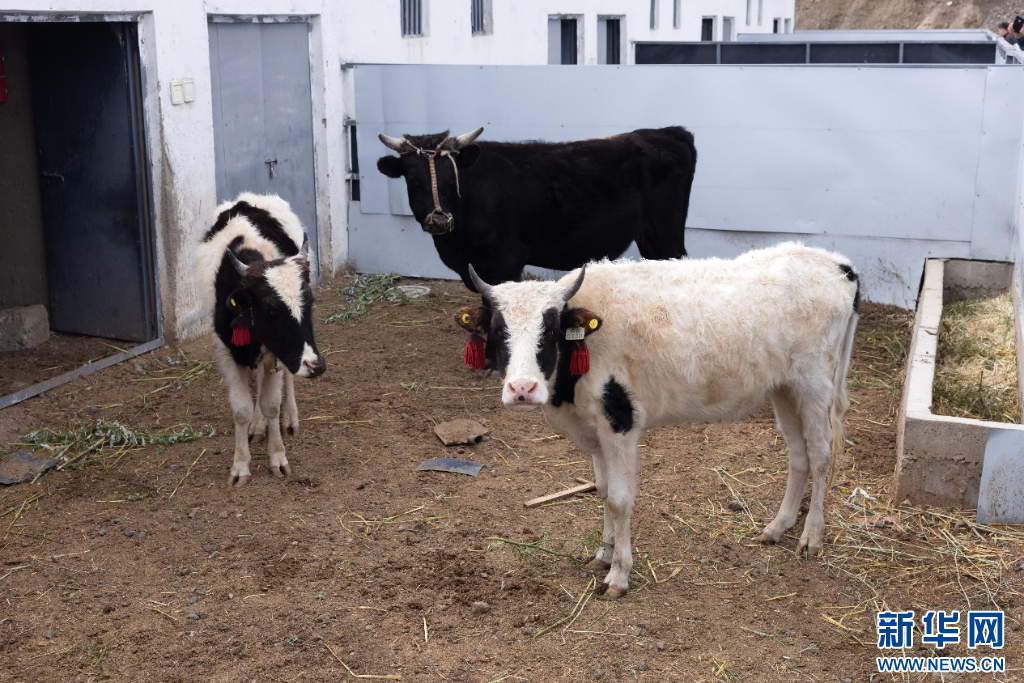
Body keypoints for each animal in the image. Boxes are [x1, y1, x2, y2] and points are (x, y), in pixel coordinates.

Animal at [196, 193, 327, 486]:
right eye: (271, 310)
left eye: (309, 301)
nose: (316, 366)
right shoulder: (227, 351)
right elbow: (241, 409)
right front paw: (240, 466)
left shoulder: (276, 355)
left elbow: (271, 405)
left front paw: (277, 458)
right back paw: (256, 426)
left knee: (285, 380)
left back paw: (290, 418)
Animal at [377, 127, 696, 291]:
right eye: (413, 179)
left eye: (450, 178)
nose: (440, 220)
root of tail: (667, 132)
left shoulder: (505, 260)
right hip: (650, 235)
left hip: (666, 230)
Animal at [455, 243, 859, 597]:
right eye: (497, 331)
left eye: (552, 330)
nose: (522, 389)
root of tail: (837, 263)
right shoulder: (594, 430)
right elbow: (602, 492)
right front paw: (604, 555)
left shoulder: (619, 423)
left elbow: (619, 500)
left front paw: (619, 574)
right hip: (785, 389)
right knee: (798, 456)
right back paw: (777, 527)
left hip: (814, 386)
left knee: (820, 456)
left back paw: (811, 536)